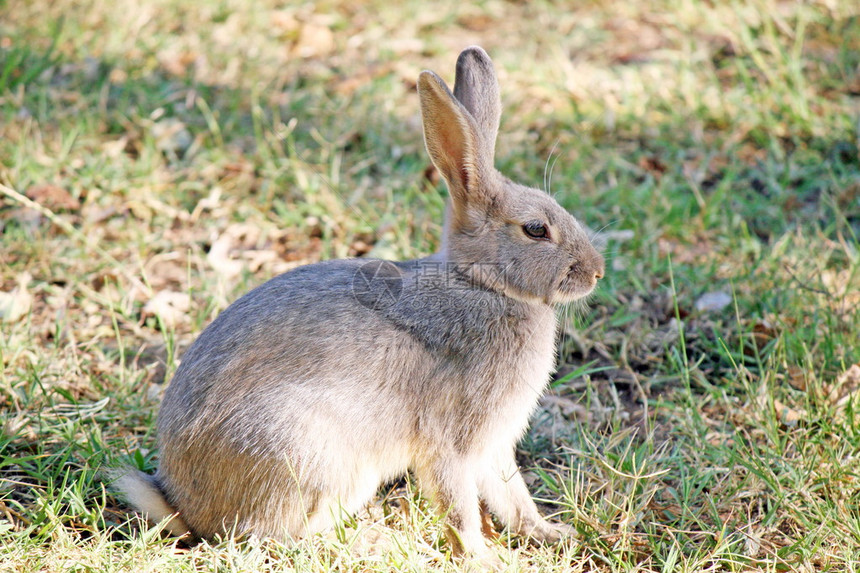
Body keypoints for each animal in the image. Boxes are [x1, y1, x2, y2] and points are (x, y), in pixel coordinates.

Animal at [116, 45, 604, 560]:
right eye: (535, 229)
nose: (596, 271)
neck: (482, 284)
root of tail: (186, 507)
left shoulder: (492, 446)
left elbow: (512, 494)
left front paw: (549, 534)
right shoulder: (452, 441)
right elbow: (458, 505)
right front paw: (480, 558)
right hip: (313, 459)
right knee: (272, 535)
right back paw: (373, 537)